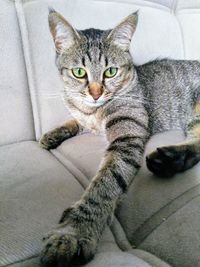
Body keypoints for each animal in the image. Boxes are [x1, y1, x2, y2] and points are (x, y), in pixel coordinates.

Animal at [39, 8, 200, 267]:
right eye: (79, 72)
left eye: (111, 72)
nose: (96, 94)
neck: (94, 113)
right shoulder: (84, 117)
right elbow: (74, 119)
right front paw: (53, 134)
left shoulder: (127, 139)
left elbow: (104, 186)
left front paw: (75, 231)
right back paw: (170, 160)